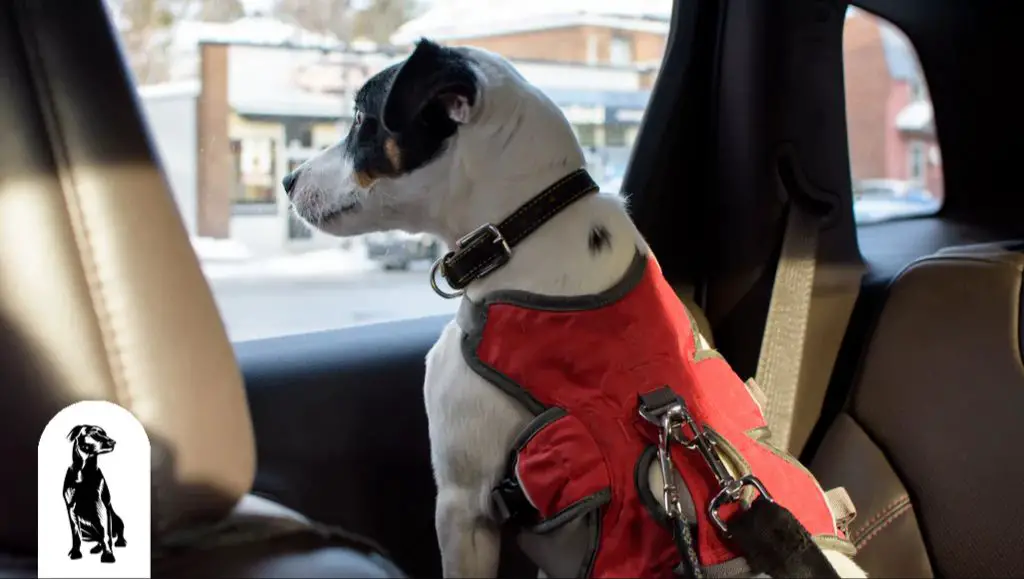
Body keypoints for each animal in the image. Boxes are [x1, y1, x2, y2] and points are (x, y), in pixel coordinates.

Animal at [62, 422, 126, 561]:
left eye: (105, 433)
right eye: (95, 434)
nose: (113, 441)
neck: (85, 470)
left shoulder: (102, 505)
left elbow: (106, 534)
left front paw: (108, 555)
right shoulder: (71, 508)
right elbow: (76, 534)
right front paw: (75, 552)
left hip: (116, 518)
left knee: (116, 531)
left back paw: (120, 542)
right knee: (96, 538)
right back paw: (97, 548)